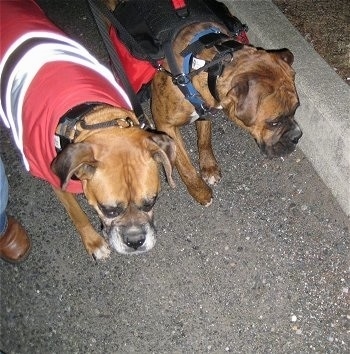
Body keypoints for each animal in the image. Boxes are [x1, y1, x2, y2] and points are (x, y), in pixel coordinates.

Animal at [0, 0, 175, 260]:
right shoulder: (57, 182)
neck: (94, 119)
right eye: (108, 210)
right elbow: (77, 214)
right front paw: (94, 242)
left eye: (150, 202)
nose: (135, 241)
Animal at [103, 0, 300, 206]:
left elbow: (204, 138)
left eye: (296, 109)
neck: (210, 64)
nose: (297, 136)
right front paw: (199, 191)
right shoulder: (166, 125)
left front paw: (209, 168)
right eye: (274, 122)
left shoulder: (207, 106)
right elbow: (184, 165)